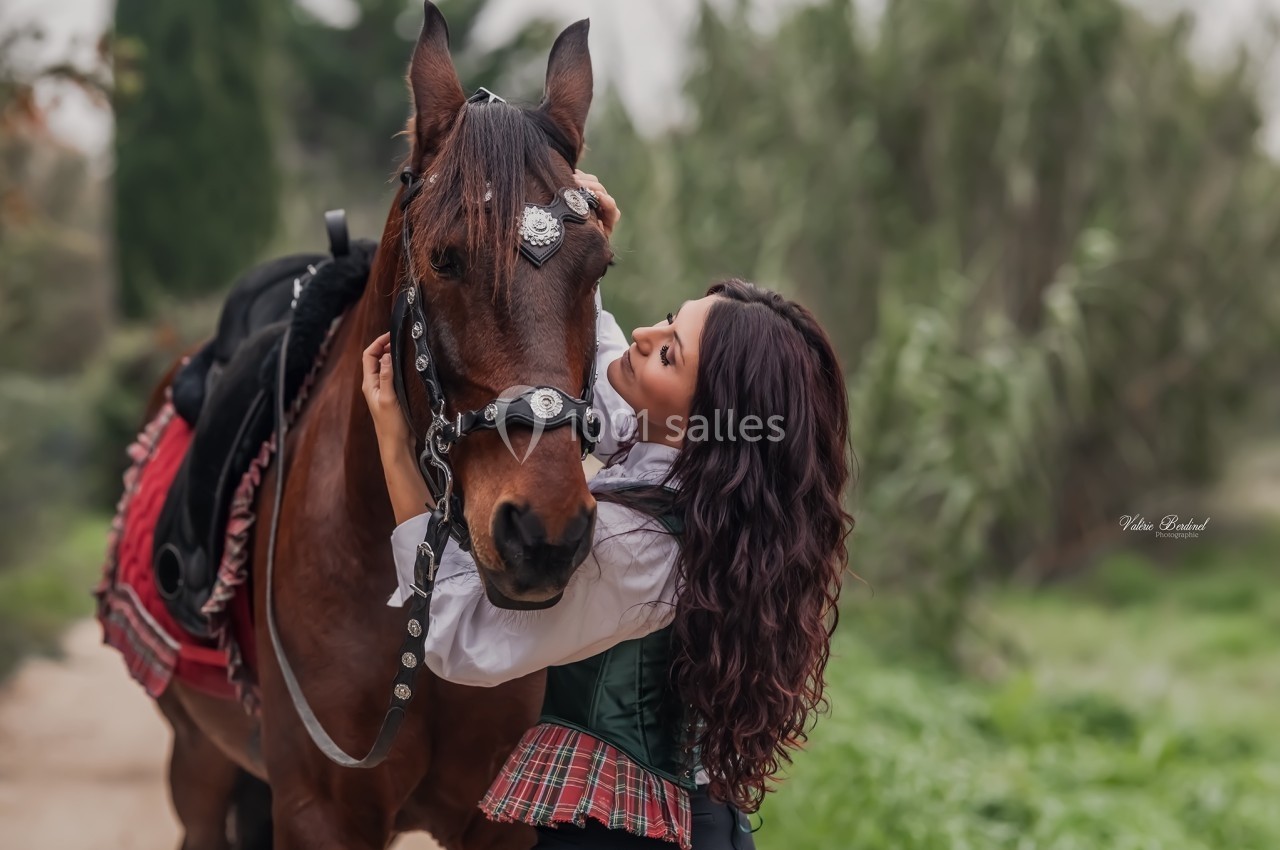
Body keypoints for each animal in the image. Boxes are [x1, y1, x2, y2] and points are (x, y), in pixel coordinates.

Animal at [139, 5, 611, 847]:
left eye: (599, 269)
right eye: (447, 259)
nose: (543, 533)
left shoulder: (496, 816)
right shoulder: (320, 812)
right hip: (198, 760)